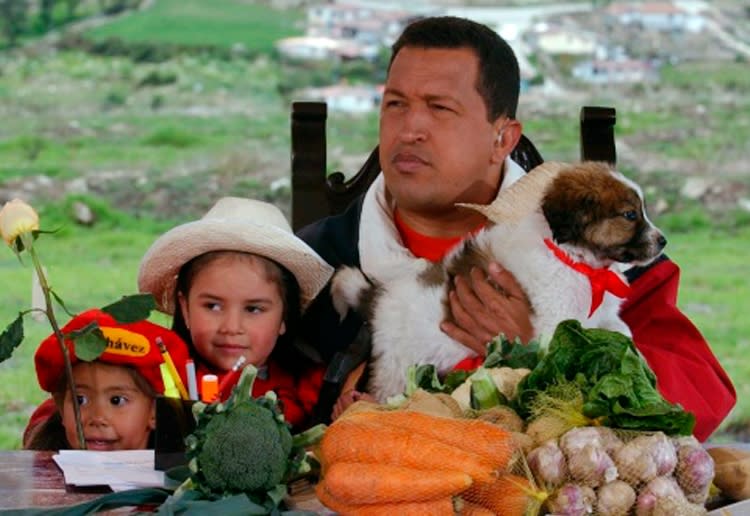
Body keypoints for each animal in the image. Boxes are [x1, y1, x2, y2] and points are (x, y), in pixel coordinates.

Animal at [332, 163, 668, 402]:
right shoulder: (553, 325)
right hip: (397, 367)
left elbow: (624, 333)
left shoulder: (604, 317)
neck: (579, 262)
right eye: (629, 215)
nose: (663, 241)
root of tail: (380, 296)